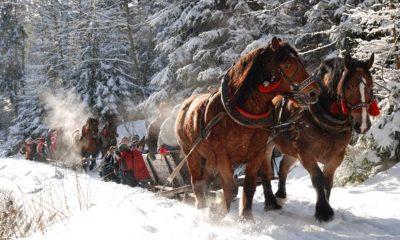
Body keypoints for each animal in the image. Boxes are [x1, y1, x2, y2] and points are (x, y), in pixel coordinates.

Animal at [177, 36, 320, 218]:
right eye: (288, 64)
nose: (314, 93)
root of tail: (185, 104)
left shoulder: (257, 153)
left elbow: (249, 186)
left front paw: (246, 217)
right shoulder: (223, 156)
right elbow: (230, 188)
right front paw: (218, 214)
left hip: (208, 157)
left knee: (207, 179)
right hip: (191, 152)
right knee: (196, 181)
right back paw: (201, 206)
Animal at [262, 52, 378, 221]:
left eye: (370, 86)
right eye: (348, 86)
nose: (362, 124)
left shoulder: (336, 156)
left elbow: (328, 182)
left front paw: (326, 206)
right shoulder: (305, 153)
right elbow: (318, 178)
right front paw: (323, 211)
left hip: (291, 149)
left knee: (283, 166)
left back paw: (280, 196)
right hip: (267, 145)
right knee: (265, 171)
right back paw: (270, 202)